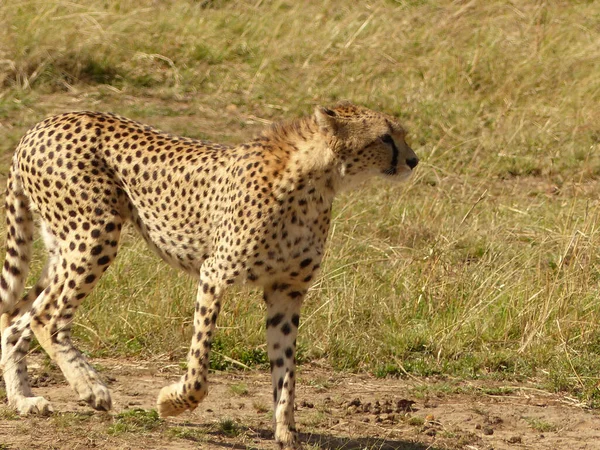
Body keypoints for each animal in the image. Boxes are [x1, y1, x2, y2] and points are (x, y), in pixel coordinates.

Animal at [0, 103, 418, 450]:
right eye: (385, 137)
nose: (414, 160)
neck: (318, 179)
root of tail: (43, 123)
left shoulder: (286, 291)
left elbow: (286, 371)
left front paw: (287, 433)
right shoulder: (214, 274)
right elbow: (200, 369)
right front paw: (170, 403)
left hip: (63, 249)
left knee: (16, 319)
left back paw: (25, 401)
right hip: (93, 236)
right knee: (45, 318)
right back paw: (91, 388)